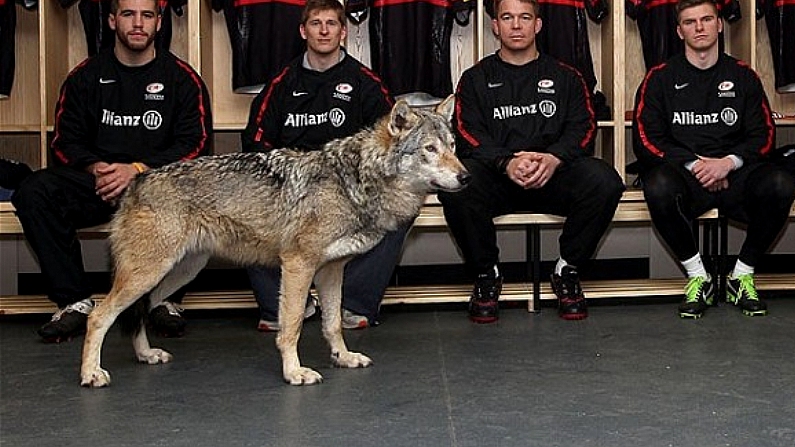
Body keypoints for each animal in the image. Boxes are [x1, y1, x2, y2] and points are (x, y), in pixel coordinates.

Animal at [79, 97, 472, 388]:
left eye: (453, 147)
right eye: (429, 149)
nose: (466, 177)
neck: (356, 181)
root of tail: (136, 182)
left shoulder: (331, 271)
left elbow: (332, 323)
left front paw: (343, 358)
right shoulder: (298, 264)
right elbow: (293, 324)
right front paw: (294, 372)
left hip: (175, 275)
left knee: (137, 313)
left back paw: (146, 356)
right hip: (148, 274)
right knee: (99, 315)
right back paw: (91, 373)